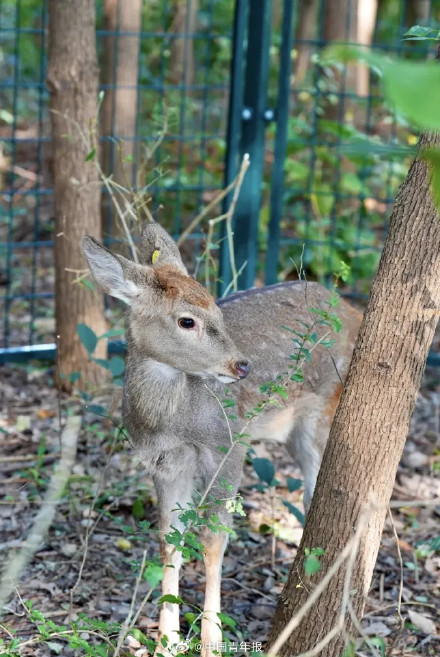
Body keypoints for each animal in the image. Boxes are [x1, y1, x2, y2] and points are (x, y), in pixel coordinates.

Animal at [81, 223, 360, 652]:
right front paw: (166, 641)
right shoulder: (163, 461)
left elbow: (213, 539)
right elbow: (169, 538)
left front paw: (211, 640)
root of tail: (354, 311)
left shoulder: (228, 445)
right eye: (186, 321)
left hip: (324, 408)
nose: (241, 365)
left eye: (217, 310)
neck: (174, 421)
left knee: (319, 493)